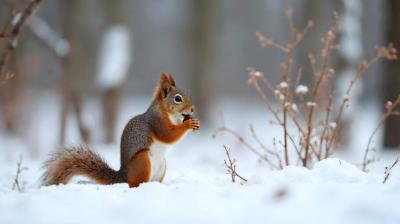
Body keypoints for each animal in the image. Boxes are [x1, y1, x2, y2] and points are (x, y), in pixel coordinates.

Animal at [41, 72, 199, 187]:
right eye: (177, 98)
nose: (193, 109)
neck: (168, 114)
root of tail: (123, 177)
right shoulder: (156, 122)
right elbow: (167, 135)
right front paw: (188, 125)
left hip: (162, 167)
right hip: (142, 161)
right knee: (135, 184)